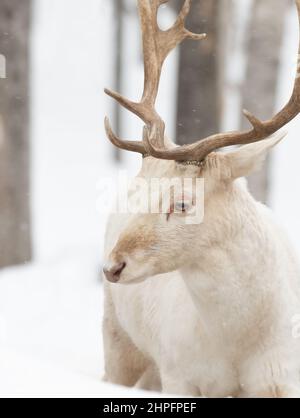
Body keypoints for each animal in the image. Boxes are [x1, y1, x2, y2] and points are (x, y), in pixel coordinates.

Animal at [102, 0, 300, 398]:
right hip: (118, 339)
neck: (237, 344)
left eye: (182, 203)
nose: (113, 266)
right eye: (143, 196)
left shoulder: (282, 377)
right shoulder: (180, 374)